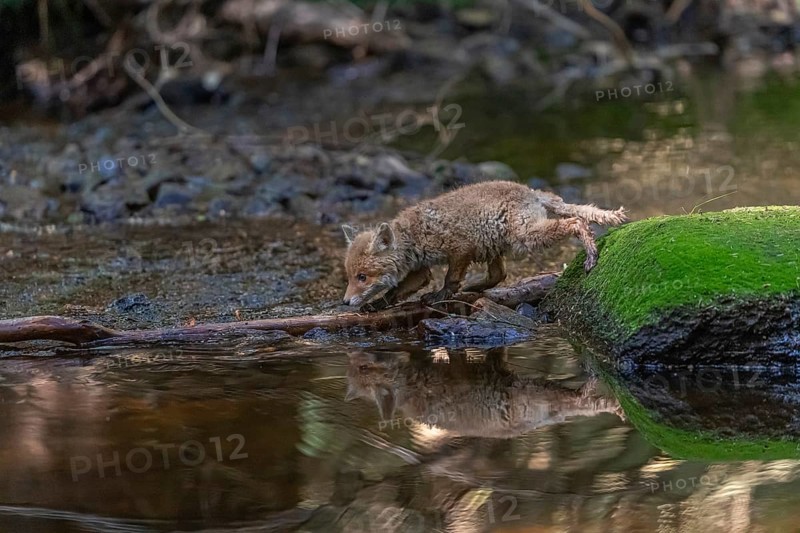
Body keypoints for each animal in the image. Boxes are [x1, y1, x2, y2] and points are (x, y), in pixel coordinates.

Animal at [342, 180, 627, 308]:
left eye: (363, 277)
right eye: (350, 277)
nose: (344, 302)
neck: (414, 236)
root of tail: (531, 192)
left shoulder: (460, 249)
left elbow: (450, 279)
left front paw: (440, 296)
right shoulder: (420, 270)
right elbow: (396, 291)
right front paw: (375, 306)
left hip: (525, 236)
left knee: (578, 221)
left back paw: (591, 252)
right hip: (494, 245)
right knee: (500, 275)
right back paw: (476, 288)